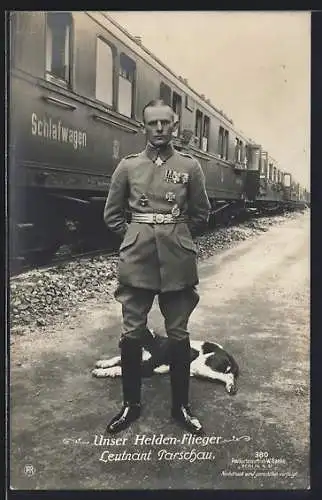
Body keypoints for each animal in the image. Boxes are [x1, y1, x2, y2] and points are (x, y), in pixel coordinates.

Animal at [91, 330, 239, 396]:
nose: (120, 343)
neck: (146, 344)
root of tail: (225, 352)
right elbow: (116, 359)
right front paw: (103, 363)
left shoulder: (145, 368)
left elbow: (118, 368)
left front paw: (102, 372)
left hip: (201, 366)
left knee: (228, 375)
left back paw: (230, 386)